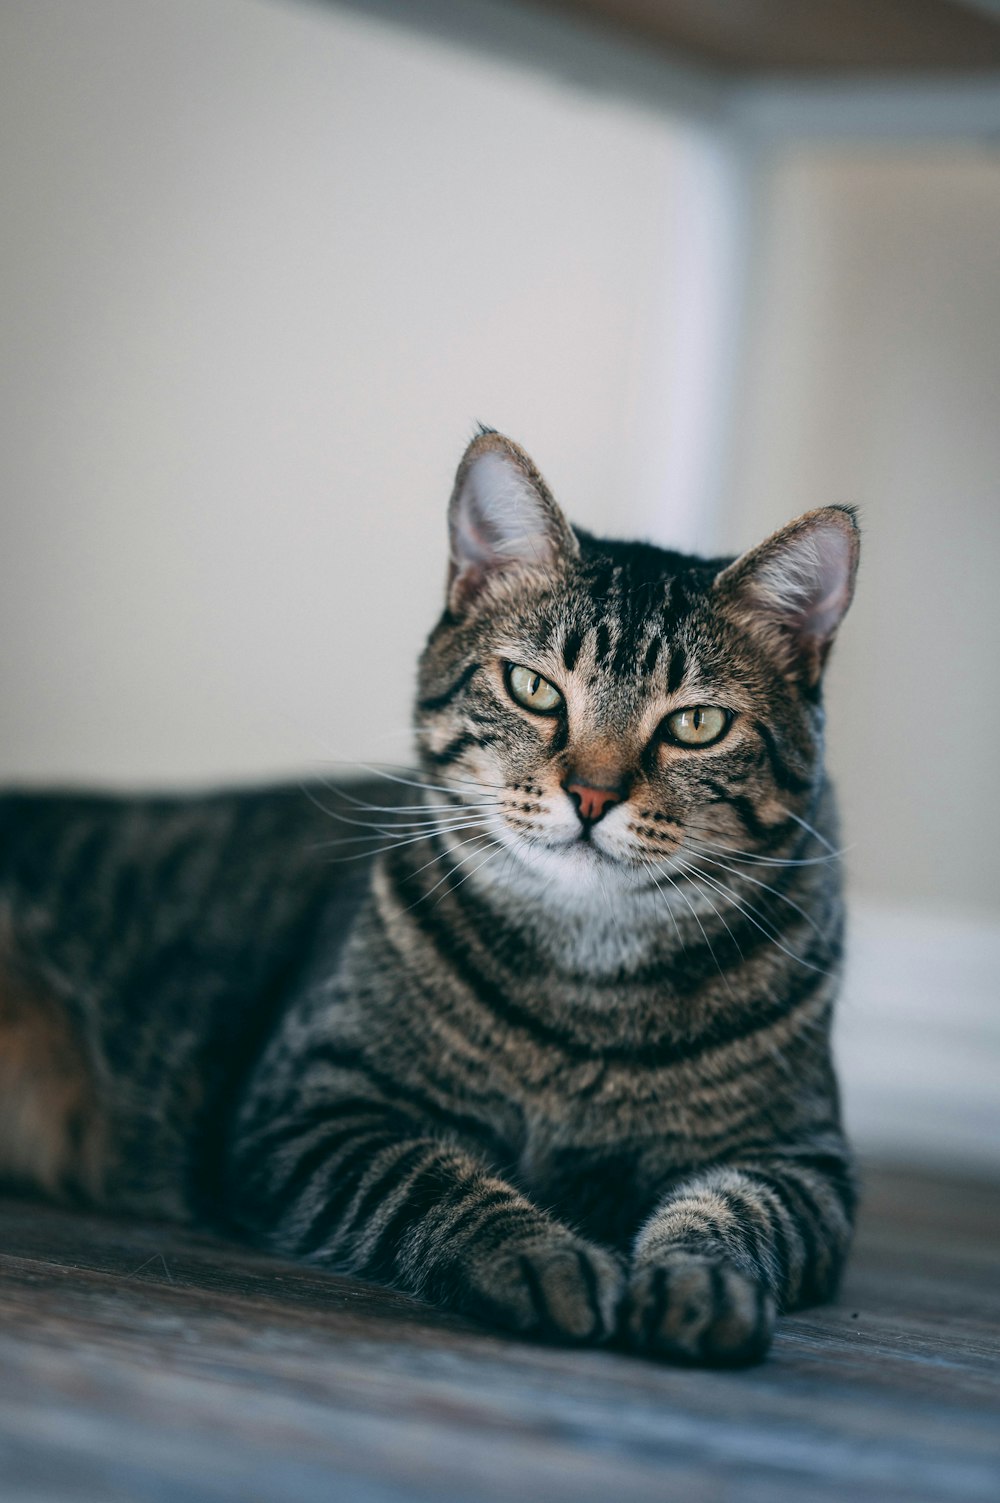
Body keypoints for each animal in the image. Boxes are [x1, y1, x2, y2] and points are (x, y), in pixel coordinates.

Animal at [0, 432, 860, 1364]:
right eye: (533, 687)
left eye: (697, 724)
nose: (593, 796)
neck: (586, 986)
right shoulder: (314, 1102)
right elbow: (433, 1181)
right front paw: (541, 1253)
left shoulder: (801, 1158)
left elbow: (732, 1211)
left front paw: (700, 1282)